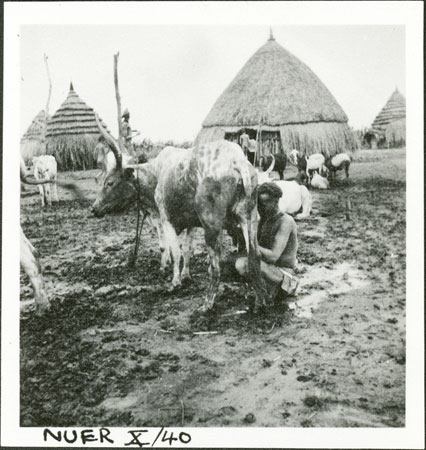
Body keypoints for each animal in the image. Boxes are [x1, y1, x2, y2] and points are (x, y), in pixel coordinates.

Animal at [92, 118, 268, 312]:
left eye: (110, 182)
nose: (94, 208)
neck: (157, 173)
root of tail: (237, 161)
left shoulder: (165, 218)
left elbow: (174, 251)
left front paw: (175, 281)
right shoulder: (192, 223)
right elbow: (187, 250)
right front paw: (185, 275)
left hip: (212, 225)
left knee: (217, 264)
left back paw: (207, 304)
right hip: (249, 218)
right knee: (254, 257)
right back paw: (260, 301)